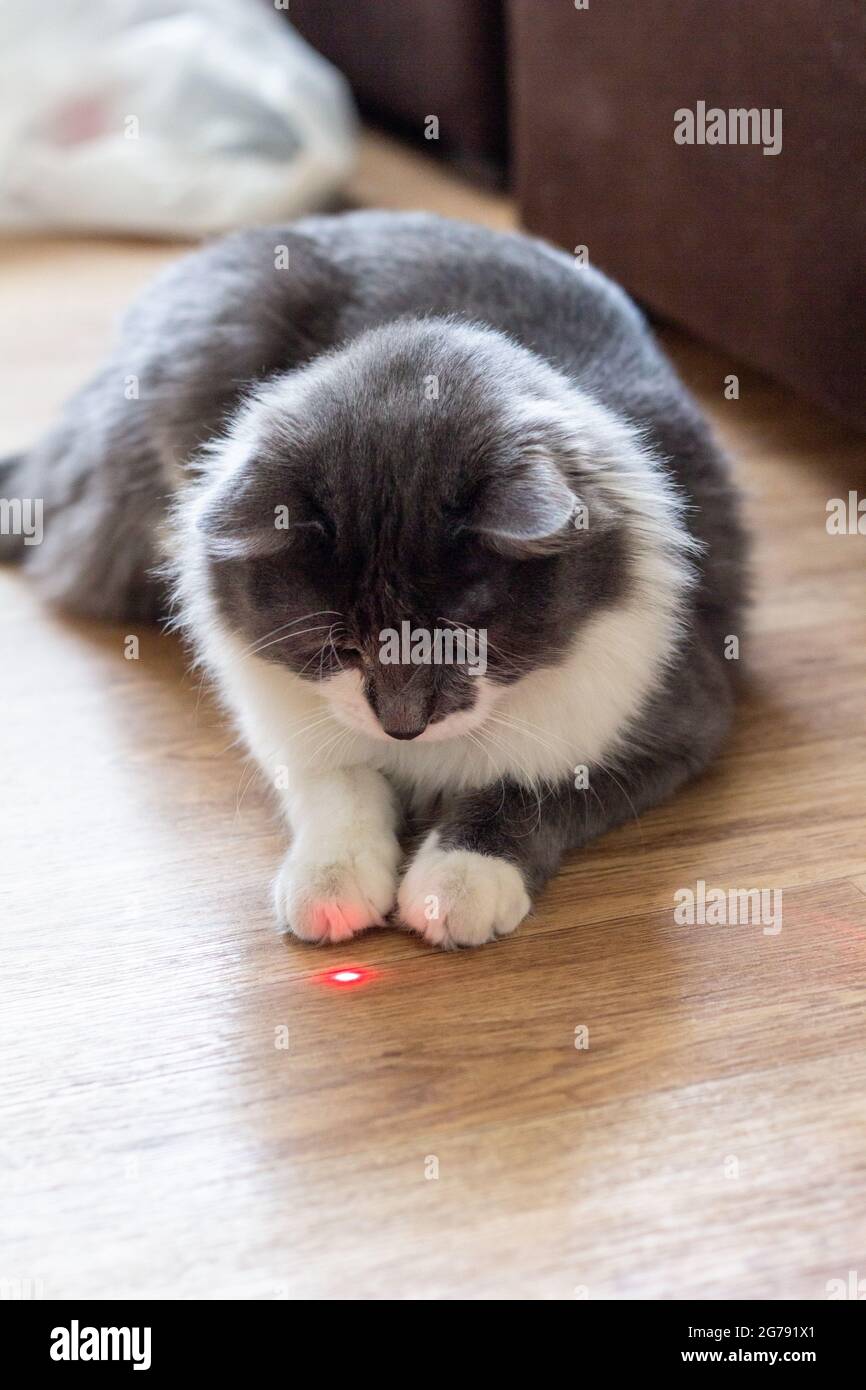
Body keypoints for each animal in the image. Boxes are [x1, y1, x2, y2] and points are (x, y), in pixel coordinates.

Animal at [0, 211, 745, 950]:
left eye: (461, 644)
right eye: (339, 649)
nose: (402, 727)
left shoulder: (672, 717)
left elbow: (527, 793)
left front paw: (455, 886)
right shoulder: (295, 728)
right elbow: (340, 788)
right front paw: (331, 891)